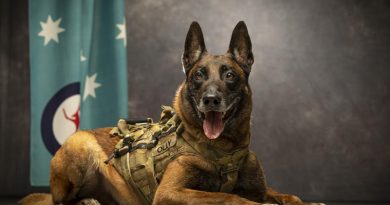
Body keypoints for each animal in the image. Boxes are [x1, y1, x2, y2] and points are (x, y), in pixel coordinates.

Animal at [21, 21, 314, 205]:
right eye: (198, 75)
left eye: (229, 75)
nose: (211, 100)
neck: (225, 150)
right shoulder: (170, 193)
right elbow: (227, 197)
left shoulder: (260, 188)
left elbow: (287, 195)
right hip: (80, 143)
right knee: (61, 201)